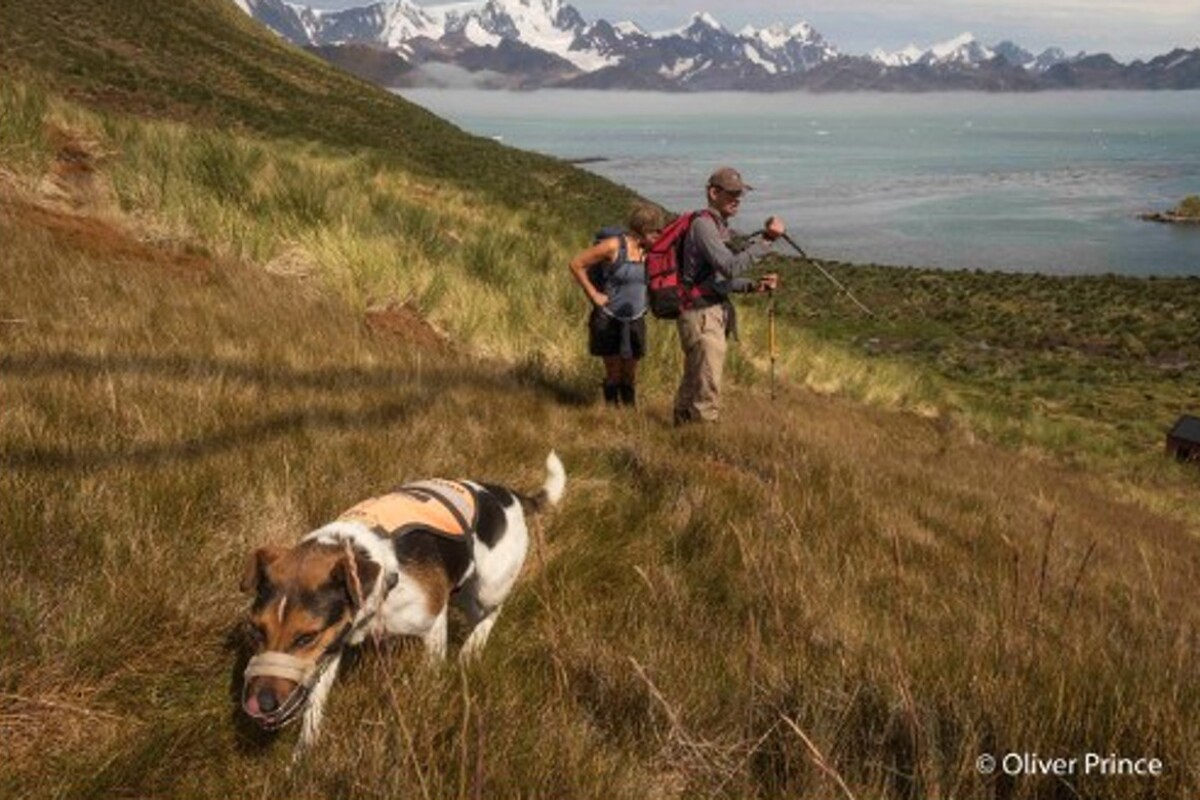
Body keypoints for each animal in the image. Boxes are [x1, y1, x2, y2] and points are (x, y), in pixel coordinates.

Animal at [242, 453, 566, 748]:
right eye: (256, 630)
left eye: (306, 637)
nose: (260, 704)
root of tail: (507, 493)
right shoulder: (332, 645)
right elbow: (314, 706)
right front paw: (303, 756)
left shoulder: (432, 623)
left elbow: (430, 675)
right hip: (463, 590)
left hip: (490, 584)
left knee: (493, 611)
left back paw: (471, 648)